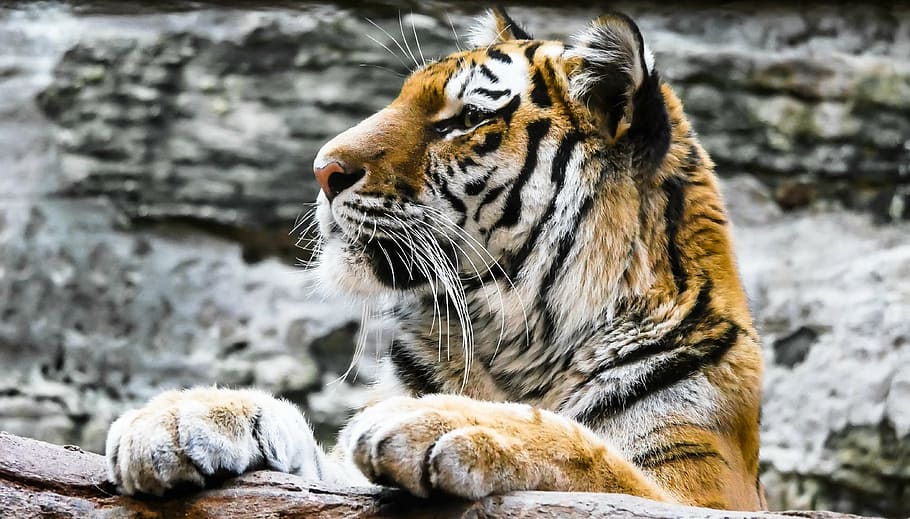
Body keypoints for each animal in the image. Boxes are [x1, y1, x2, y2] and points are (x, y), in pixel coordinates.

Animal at [105, 8, 765, 511]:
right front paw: (181, 416)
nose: (322, 170)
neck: (519, 340)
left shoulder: (704, 494)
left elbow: (593, 456)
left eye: (467, 119)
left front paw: (454, 423)